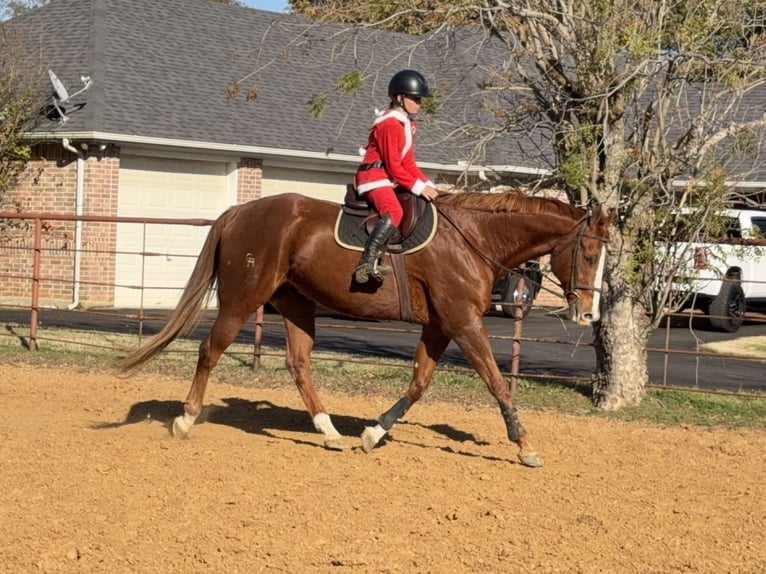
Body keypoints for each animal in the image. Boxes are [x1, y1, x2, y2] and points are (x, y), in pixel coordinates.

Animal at [120, 190, 614, 468]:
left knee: (298, 364)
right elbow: (496, 381)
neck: (473, 239)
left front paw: (374, 433)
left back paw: (330, 432)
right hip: (243, 301)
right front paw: (524, 445)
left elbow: (418, 384)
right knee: (210, 349)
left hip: (295, 304)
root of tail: (242, 211)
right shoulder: (463, 322)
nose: (588, 316)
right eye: (589, 254)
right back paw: (185, 419)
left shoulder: (440, 327)